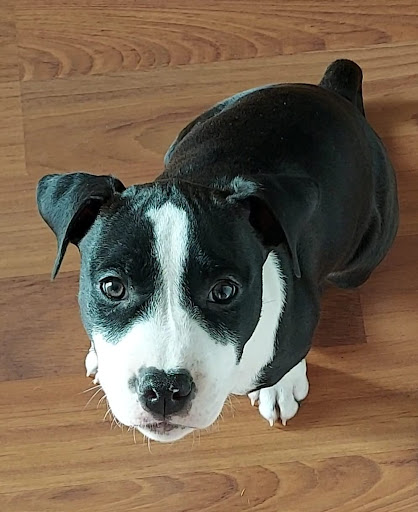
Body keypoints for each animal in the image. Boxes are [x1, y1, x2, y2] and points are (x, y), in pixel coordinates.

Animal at [36, 60, 399, 442]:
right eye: (112, 287)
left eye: (224, 291)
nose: (163, 390)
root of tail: (332, 91)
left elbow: (288, 359)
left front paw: (279, 387)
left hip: (360, 262)